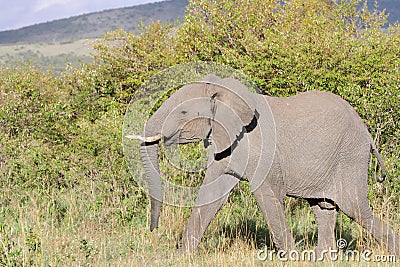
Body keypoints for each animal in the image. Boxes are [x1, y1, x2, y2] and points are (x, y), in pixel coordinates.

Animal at [129, 73, 400, 258]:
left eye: (183, 112)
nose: (152, 230)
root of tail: (368, 135)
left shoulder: (263, 152)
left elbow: (267, 194)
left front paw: (292, 259)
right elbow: (210, 194)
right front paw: (179, 257)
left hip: (350, 156)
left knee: (355, 208)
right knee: (323, 208)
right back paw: (322, 259)